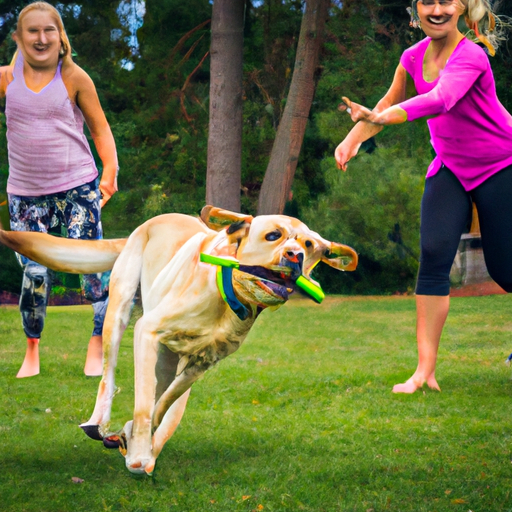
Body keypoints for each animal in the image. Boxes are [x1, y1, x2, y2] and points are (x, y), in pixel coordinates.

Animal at [0, 206, 358, 474]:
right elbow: (144, 405)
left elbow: (162, 404)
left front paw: (136, 441)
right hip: (119, 310)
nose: (295, 256)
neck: (227, 298)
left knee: (166, 401)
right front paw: (137, 450)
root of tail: (152, 220)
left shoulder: (200, 365)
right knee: (108, 372)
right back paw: (98, 422)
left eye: (310, 246)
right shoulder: (147, 331)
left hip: (169, 359)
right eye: (273, 235)